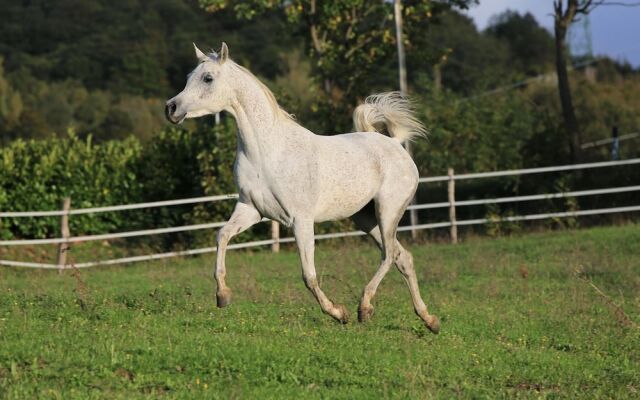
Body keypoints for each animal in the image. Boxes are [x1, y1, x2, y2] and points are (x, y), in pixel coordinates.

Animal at [165, 43, 440, 334]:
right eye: (188, 76)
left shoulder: (300, 220)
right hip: (366, 219)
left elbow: (308, 275)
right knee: (403, 257)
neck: (267, 152)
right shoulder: (250, 209)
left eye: (208, 78)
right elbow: (222, 236)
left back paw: (364, 308)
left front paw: (338, 313)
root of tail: (396, 144)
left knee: (388, 256)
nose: (171, 108)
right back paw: (429, 320)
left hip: (388, 211)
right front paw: (223, 295)